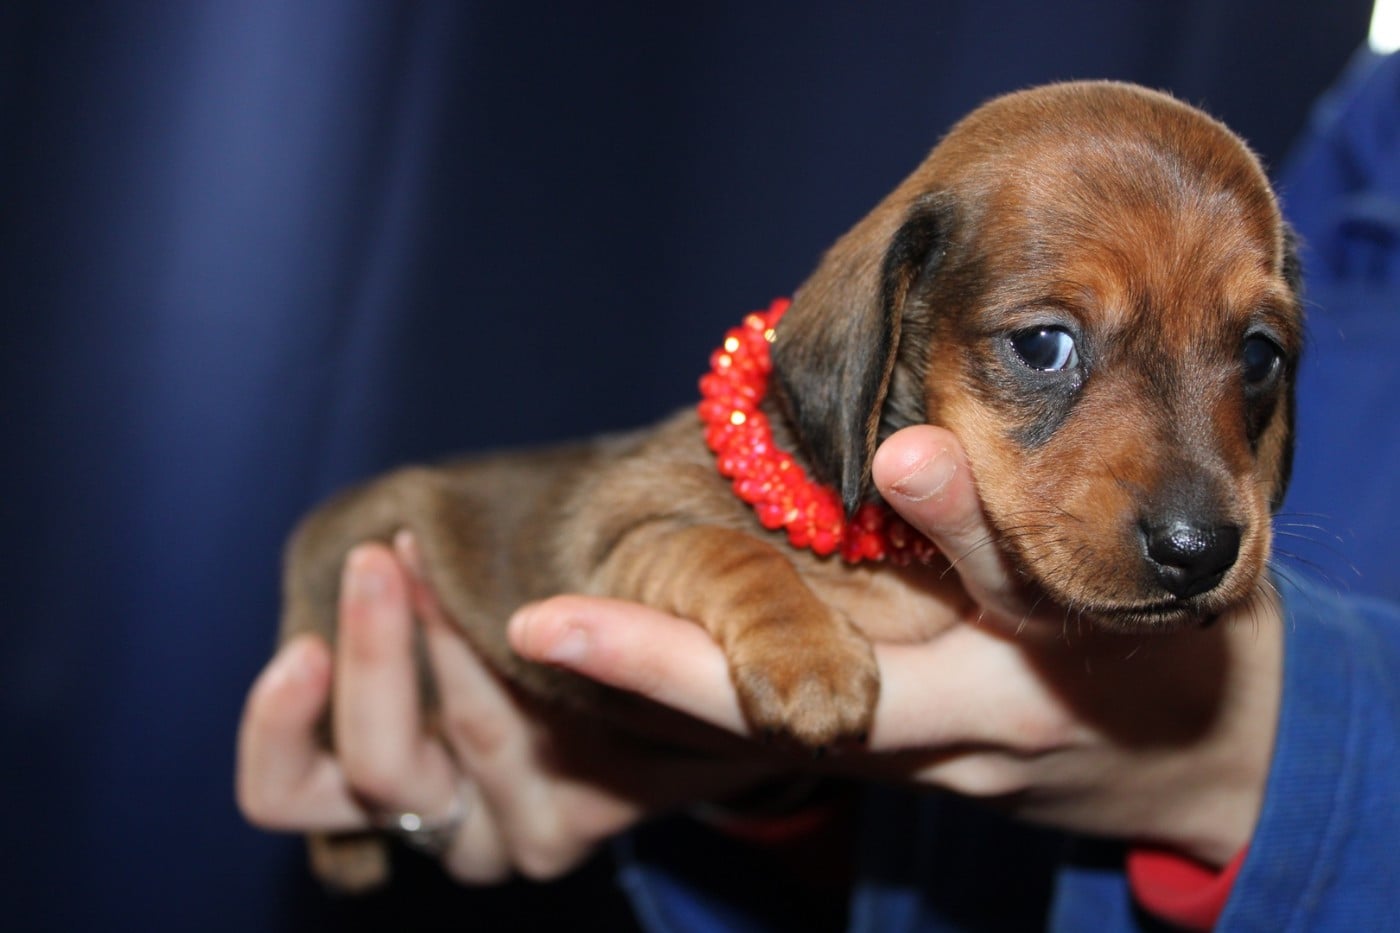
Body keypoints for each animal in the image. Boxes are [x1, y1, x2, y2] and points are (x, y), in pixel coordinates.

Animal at [280, 80, 1301, 888]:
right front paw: (807, 655)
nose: (1201, 552)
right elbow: (723, 549)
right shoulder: (617, 538)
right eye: (1044, 345)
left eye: (1260, 355)